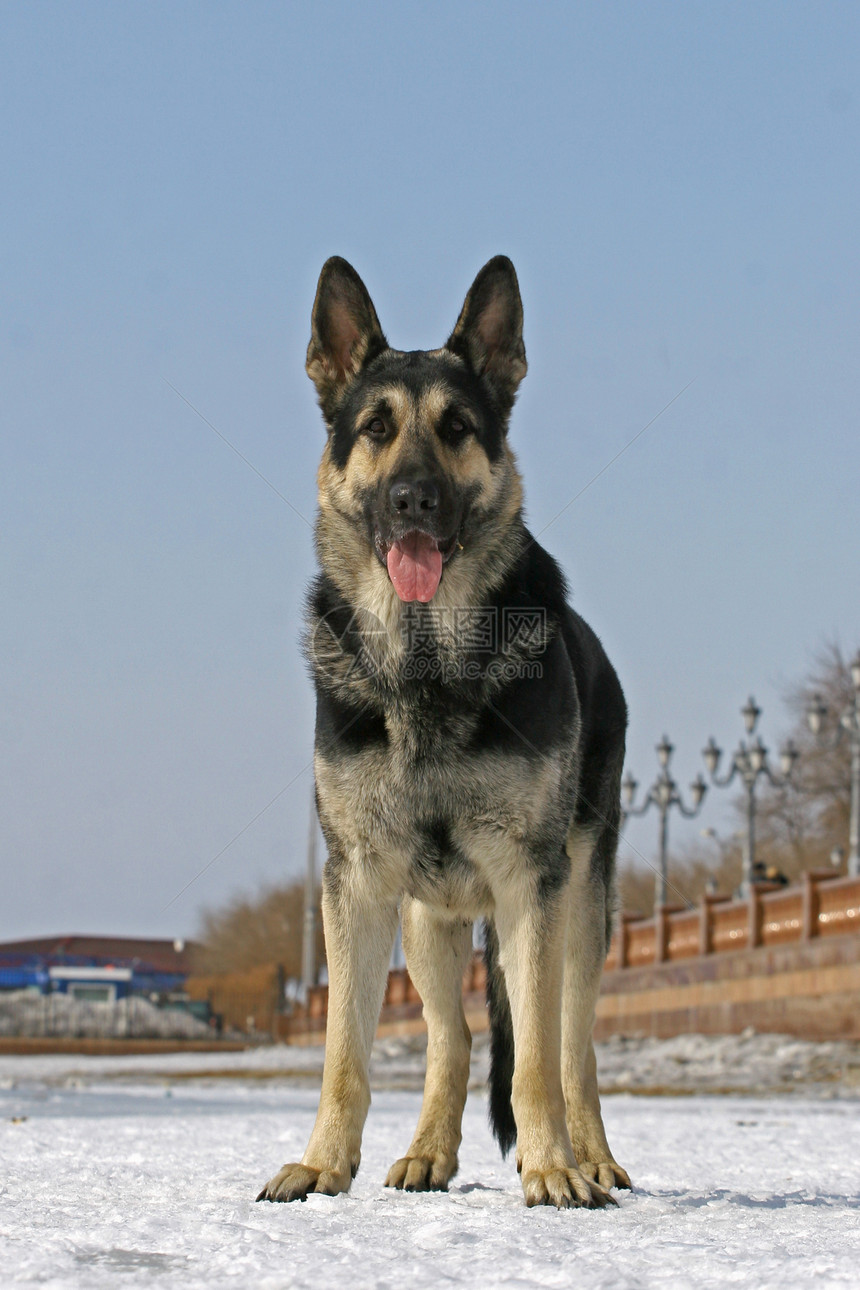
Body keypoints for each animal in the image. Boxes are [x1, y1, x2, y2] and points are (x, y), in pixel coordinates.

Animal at [257, 254, 631, 1207]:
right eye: (376, 428)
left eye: (459, 428)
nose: (413, 499)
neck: (426, 664)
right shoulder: (358, 884)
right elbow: (344, 1055)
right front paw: (323, 1163)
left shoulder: (531, 883)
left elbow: (534, 1060)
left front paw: (551, 1168)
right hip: (429, 919)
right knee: (453, 1039)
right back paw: (429, 1151)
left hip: (578, 907)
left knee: (569, 1045)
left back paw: (589, 1155)